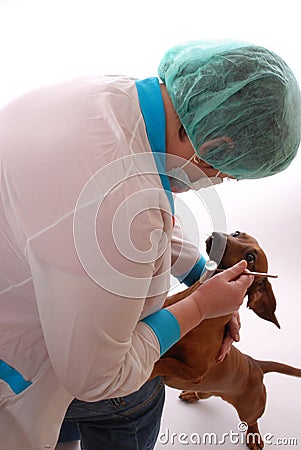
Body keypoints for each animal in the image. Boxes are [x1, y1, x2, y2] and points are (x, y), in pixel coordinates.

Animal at [151, 232, 300, 450]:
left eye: (250, 257)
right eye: (237, 233)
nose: (218, 234)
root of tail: (256, 365)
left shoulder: (196, 371)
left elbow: (165, 362)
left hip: (250, 408)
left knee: (252, 420)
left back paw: (253, 436)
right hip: (210, 388)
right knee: (203, 394)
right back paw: (192, 395)